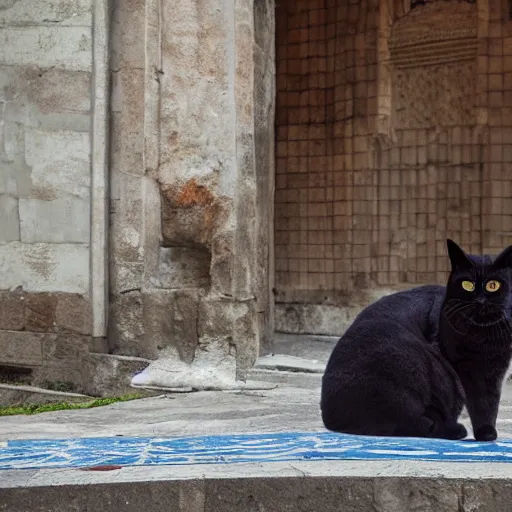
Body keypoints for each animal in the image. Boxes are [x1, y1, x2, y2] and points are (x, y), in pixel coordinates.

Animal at [320, 239, 512, 440]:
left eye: (493, 285)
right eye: (467, 285)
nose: (480, 301)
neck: (484, 336)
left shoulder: (495, 372)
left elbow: (488, 404)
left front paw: (487, 433)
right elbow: (477, 400)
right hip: (420, 359)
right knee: (420, 420)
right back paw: (454, 429)